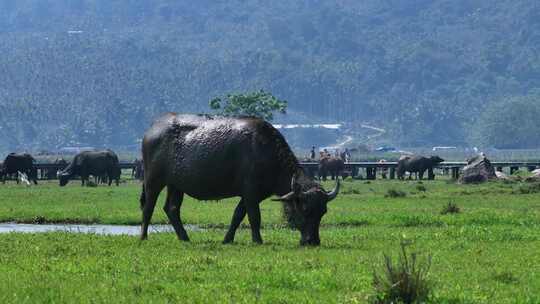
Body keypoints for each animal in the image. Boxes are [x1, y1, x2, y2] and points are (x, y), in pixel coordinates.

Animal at [141, 113, 340, 246]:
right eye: (305, 209)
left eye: (323, 212)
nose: (313, 241)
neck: (266, 152)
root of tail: (152, 130)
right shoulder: (251, 193)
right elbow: (254, 216)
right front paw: (257, 240)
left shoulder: (251, 195)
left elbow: (238, 215)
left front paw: (227, 239)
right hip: (153, 180)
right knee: (148, 206)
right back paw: (143, 236)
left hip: (176, 185)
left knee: (172, 209)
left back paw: (184, 237)